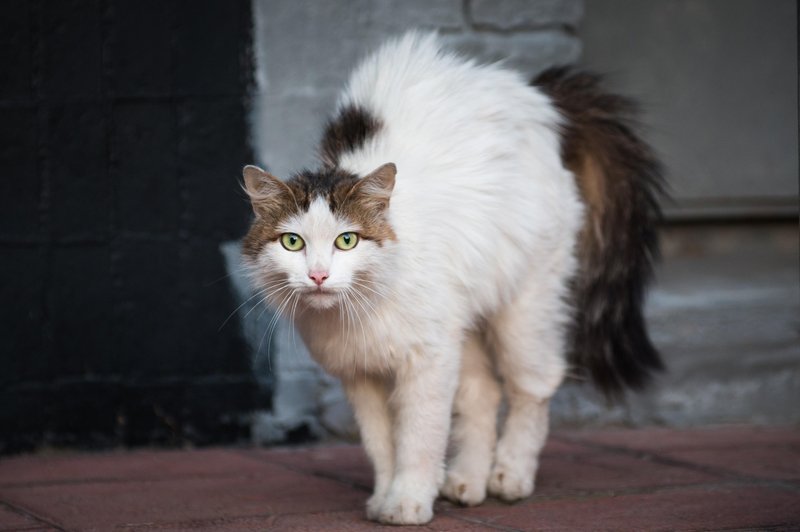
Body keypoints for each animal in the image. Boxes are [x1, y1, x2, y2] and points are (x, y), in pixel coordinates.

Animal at [242, 31, 664, 524]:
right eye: (292, 243)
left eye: (347, 241)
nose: (319, 275)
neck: (358, 310)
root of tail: (535, 96)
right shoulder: (362, 376)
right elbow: (381, 445)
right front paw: (385, 497)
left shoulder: (428, 361)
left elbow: (419, 438)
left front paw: (408, 502)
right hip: (465, 323)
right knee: (483, 393)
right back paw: (467, 481)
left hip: (525, 307)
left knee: (534, 384)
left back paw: (510, 474)